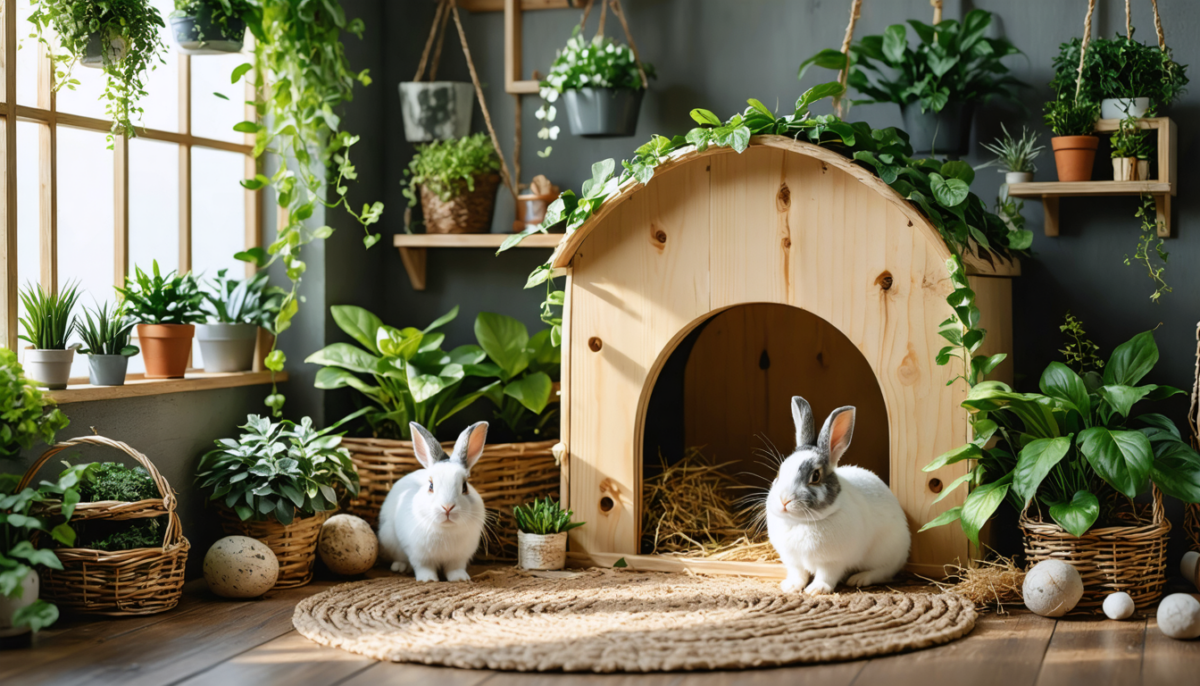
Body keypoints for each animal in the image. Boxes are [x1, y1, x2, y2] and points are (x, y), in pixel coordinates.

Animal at [377, 421, 489, 582]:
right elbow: (424, 567)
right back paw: (400, 567)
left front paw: (460, 579)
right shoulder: (419, 555)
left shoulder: (459, 558)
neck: (446, 529)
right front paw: (428, 579)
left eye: (465, 487)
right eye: (431, 486)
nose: (447, 507)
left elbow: (455, 568)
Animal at [766, 396, 910, 595]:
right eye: (779, 473)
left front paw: (816, 590)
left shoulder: (832, 562)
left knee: (884, 572)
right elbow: (798, 574)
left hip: (886, 552)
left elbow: (826, 576)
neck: (801, 522)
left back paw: (859, 579)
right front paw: (790, 587)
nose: (784, 500)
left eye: (815, 476)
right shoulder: (793, 561)